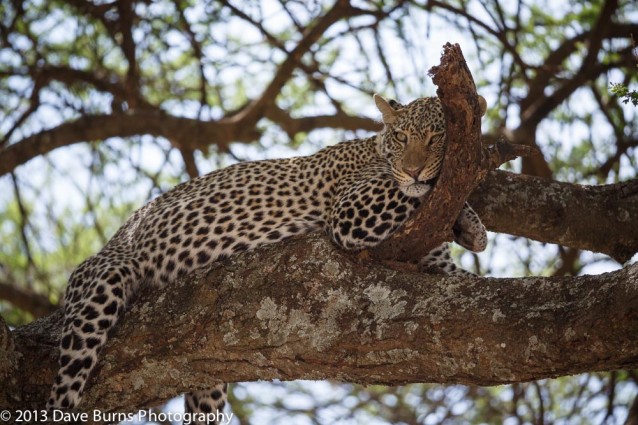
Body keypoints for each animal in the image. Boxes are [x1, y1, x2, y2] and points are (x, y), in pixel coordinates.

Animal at [47, 94, 488, 422]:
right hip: (104, 282)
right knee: (63, 389)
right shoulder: (350, 212)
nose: (413, 170)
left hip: (206, 382)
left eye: (436, 137)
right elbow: (403, 190)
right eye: (402, 136)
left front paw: (471, 229)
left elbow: (459, 272)